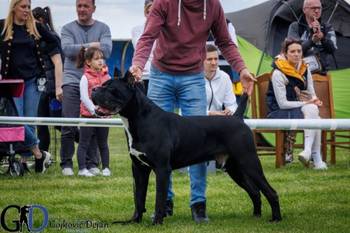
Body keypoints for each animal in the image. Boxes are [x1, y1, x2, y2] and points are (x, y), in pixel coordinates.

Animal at [91, 72, 282, 224]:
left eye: (110, 88)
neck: (138, 119)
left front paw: (157, 222)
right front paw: (134, 221)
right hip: (234, 167)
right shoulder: (139, 169)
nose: (93, 89)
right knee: (255, 191)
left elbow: (159, 198)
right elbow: (138, 197)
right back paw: (256, 216)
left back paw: (276, 219)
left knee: (270, 191)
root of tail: (237, 118)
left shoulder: (162, 169)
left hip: (249, 161)